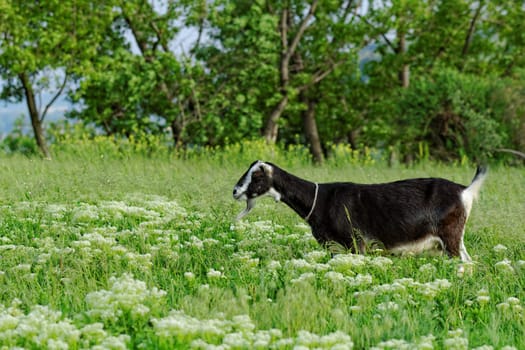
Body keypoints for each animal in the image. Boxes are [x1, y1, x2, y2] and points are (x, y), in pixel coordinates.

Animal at [233, 160, 488, 262]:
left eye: (257, 176)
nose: (235, 191)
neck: (321, 199)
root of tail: (464, 191)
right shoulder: (334, 248)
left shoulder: (356, 243)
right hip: (456, 239)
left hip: (450, 236)